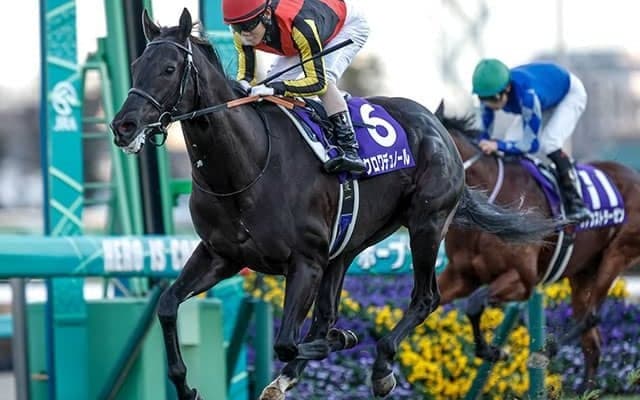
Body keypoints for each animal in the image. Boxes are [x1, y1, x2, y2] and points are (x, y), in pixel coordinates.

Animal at [109, 9, 560, 400]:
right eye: (136, 65)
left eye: (169, 69)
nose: (123, 126)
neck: (245, 168)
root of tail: (436, 125)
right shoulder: (220, 254)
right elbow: (168, 305)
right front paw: (186, 386)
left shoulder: (305, 261)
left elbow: (287, 341)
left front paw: (340, 340)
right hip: (347, 245)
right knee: (329, 310)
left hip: (427, 223)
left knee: (425, 297)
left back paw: (380, 368)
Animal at [435, 102, 640, 393]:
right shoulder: (462, 275)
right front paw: (493, 351)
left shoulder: (523, 280)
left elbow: (474, 304)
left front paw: (497, 351)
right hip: (582, 274)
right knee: (592, 342)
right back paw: (584, 391)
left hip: (617, 255)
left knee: (591, 317)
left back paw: (546, 352)